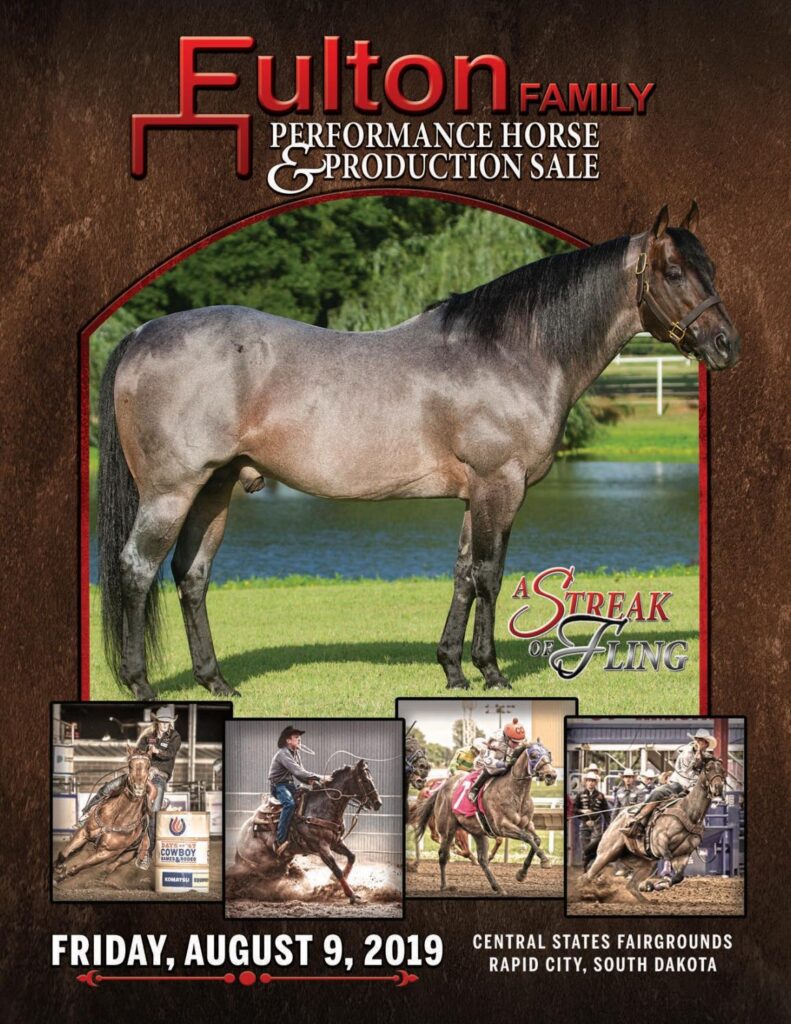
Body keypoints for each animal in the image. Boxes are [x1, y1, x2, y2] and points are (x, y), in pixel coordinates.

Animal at [53, 747, 153, 882]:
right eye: (130, 766)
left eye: (148, 767)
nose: (138, 789)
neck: (117, 818)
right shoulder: (84, 833)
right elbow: (64, 853)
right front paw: (58, 867)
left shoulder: (107, 853)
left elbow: (77, 868)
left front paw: (61, 876)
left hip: (128, 855)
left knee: (111, 867)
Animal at [97, 202, 739, 699]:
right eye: (674, 271)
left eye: (710, 267)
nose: (726, 344)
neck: (510, 352)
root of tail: (141, 334)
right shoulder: (500, 485)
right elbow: (489, 575)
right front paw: (490, 672)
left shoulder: (475, 495)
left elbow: (461, 574)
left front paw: (452, 669)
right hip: (171, 491)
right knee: (136, 569)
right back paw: (140, 684)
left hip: (215, 488)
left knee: (191, 573)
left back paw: (216, 681)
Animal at [234, 760, 382, 903]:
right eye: (365, 780)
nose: (378, 803)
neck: (323, 807)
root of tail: (241, 836)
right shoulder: (321, 846)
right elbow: (336, 869)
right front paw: (351, 895)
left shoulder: (336, 842)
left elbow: (351, 857)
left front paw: (333, 882)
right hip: (263, 861)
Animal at [414, 741, 557, 894]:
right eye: (534, 755)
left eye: (549, 753)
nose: (552, 775)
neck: (516, 793)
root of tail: (441, 788)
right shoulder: (502, 826)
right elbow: (527, 837)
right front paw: (545, 861)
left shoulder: (527, 824)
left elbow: (536, 840)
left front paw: (522, 873)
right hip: (447, 830)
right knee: (443, 855)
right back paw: (444, 886)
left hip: (478, 832)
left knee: (482, 860)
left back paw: (498, 887)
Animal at [577, 754, 726, 903]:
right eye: (707, 769)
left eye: (723, 771)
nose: (718, 787)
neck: (689, 812)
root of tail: (613, 824)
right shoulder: (660, 842)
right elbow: (667, 859)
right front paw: (658, 882)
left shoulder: (684, 854)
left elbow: (678, 877)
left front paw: (657, 885)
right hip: (606, 854)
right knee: (586, 877)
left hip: (646, 863)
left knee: (630, 886)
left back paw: (646, 900)